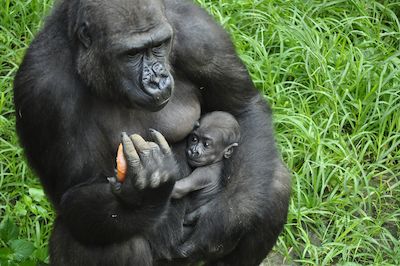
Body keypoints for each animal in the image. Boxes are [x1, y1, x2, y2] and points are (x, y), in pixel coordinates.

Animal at [14, 0, 290, 264]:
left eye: (158, 45)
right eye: (132, 53)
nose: (157, 80)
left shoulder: (201, 36)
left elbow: (242, 109)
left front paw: (220, 224)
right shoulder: (42, 89)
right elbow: (72, 196)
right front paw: (147, 191)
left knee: (273, 183)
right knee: (98, 239)